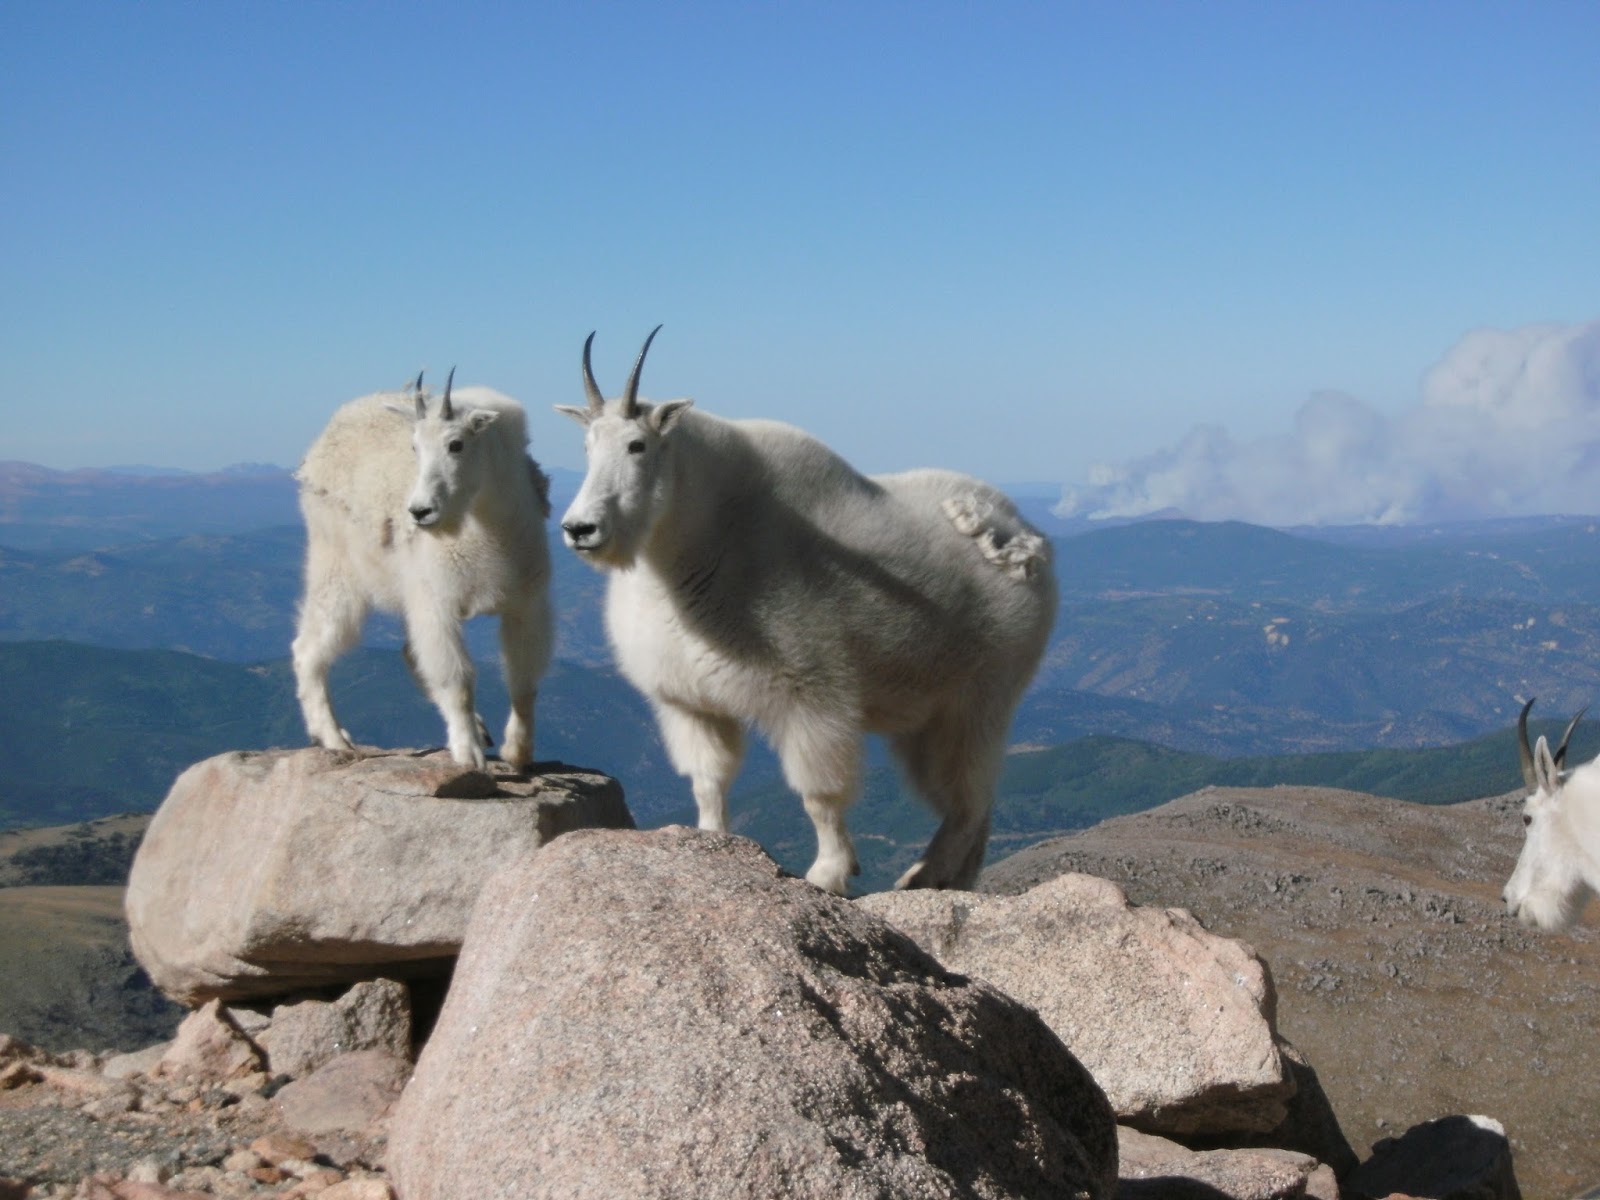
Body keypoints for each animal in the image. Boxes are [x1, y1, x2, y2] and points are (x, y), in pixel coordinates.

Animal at [293, 370, 553, 771]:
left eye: (456, 444)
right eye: (414, 447)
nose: (420, 511)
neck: (484, 526)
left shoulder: (526, 604)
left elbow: (523, 681)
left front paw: (518, 752)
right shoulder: (436, 601)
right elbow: (457, 679)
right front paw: (469, 754)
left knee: (408, 652)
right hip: (337, 566)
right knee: (309, 647)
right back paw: (335, 738)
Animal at [556, 328, 1057, 894]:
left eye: (637, 445)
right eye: (587, 446)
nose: (580, 528)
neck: (691, 549)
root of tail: (1025, 541)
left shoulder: (810, 695)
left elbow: (820, 793)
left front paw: (829, 874)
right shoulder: (690, 701)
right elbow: (708, 780)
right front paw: (707, 843)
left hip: (981, 696)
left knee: (968, 798)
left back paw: (918, 877)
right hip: (925, 712)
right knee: (972, 803)